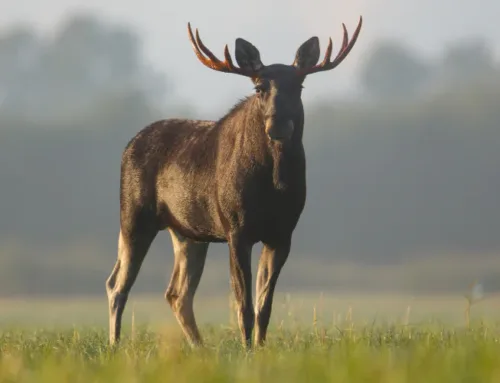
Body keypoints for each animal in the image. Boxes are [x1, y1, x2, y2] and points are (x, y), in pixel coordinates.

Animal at [105, 16, 364, 350]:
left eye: (300, 85)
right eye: (259, 87)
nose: (278, 124)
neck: (274, 185)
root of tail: (128, 145)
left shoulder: (282, 233)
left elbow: (264, 305)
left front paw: (261, 348)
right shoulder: (236, 228)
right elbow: (244, 305)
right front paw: (247, 349)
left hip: (188, 233)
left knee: (176, 293)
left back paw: (199, 347)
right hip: (134, 215)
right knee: (117, 283)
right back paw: (114, 344)